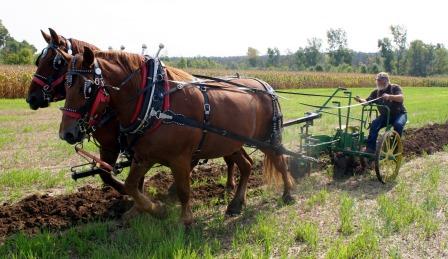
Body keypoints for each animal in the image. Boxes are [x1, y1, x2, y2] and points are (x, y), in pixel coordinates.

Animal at [26, 29, 250, 195]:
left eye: (55, 62)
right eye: (39, 61)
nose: (31, 98)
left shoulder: (124, 145)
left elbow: (119, 176)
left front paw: (129, 198)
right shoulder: (113, 146)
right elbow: (106, 174)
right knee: (230, 156)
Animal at [57, 48, 294, 225]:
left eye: (86, 88)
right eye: (66, 86)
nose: (66, 133)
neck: (155, 102)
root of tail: (265, 85)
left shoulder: (179, 158)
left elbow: (183, 189)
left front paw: (185, 220)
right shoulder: (143, 156)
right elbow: (132, 186)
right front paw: (156, 209)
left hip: (267, 139)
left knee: (280, 161)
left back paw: (288, 193)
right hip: (231, 143)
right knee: (246, 165)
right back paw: (236, 204)